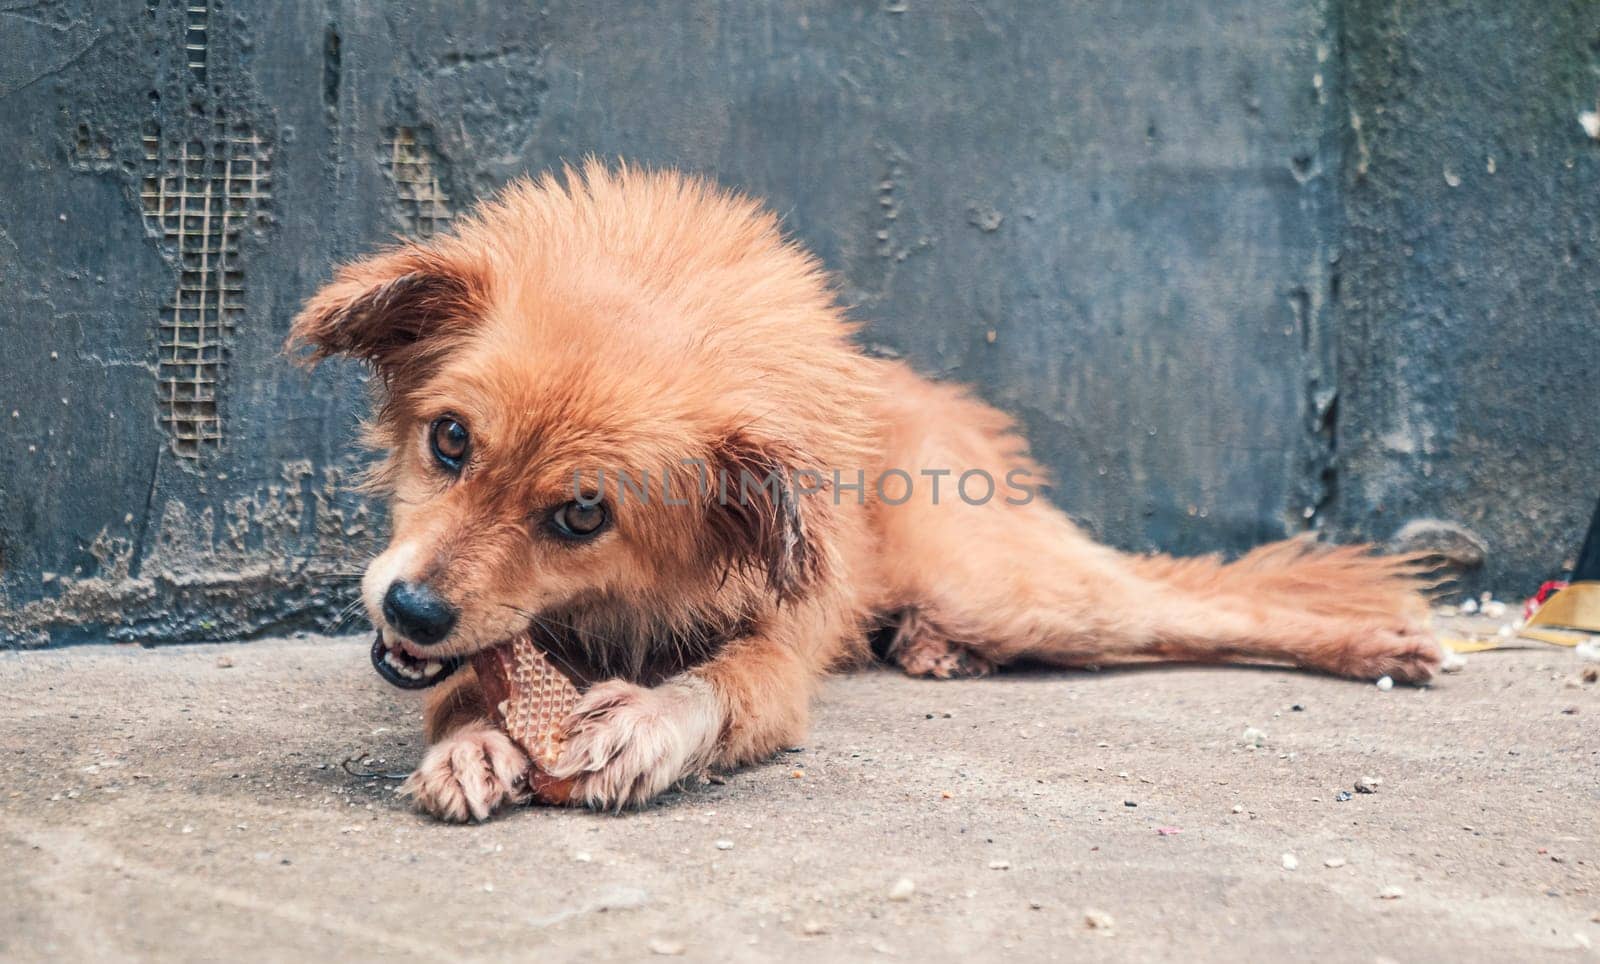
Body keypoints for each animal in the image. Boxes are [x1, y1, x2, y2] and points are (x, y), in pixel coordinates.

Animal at [288, 163, 1440, 816]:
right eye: (448, 439)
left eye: (583, 514)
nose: (410, 608)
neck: (616, 609)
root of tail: (939, 399)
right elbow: (457, 688)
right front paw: (473, 742)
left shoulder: (781, 653)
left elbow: (722, 686)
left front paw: (644, 724)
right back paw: (935, 650)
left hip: (1019, 592)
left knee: (1193, 607)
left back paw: (1378, 642)